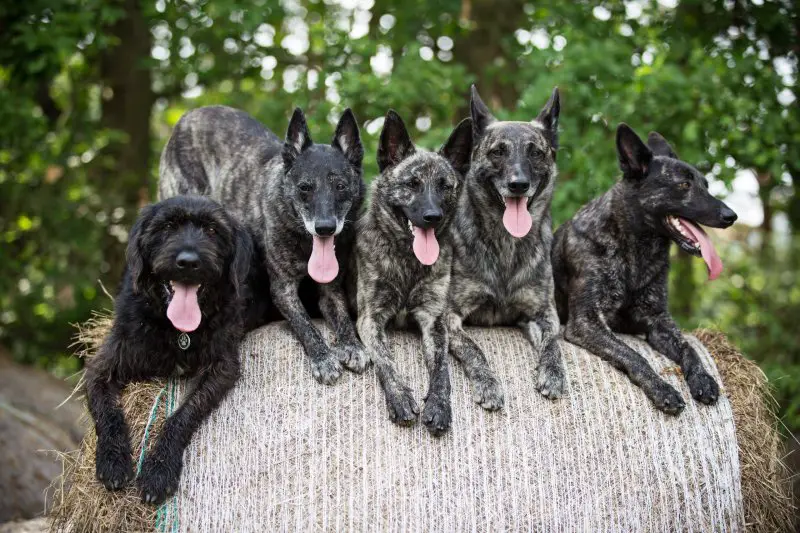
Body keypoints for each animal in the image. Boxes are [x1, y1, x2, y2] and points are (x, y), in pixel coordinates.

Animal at [85, 195, 253, 502]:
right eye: (167, 227)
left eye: (213, 230)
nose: (188, 262)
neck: (177, 331)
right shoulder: (101, 368)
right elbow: (109, 412)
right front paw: (113, 460)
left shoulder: (222, 369)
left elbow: (182, 416)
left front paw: (159, 470)